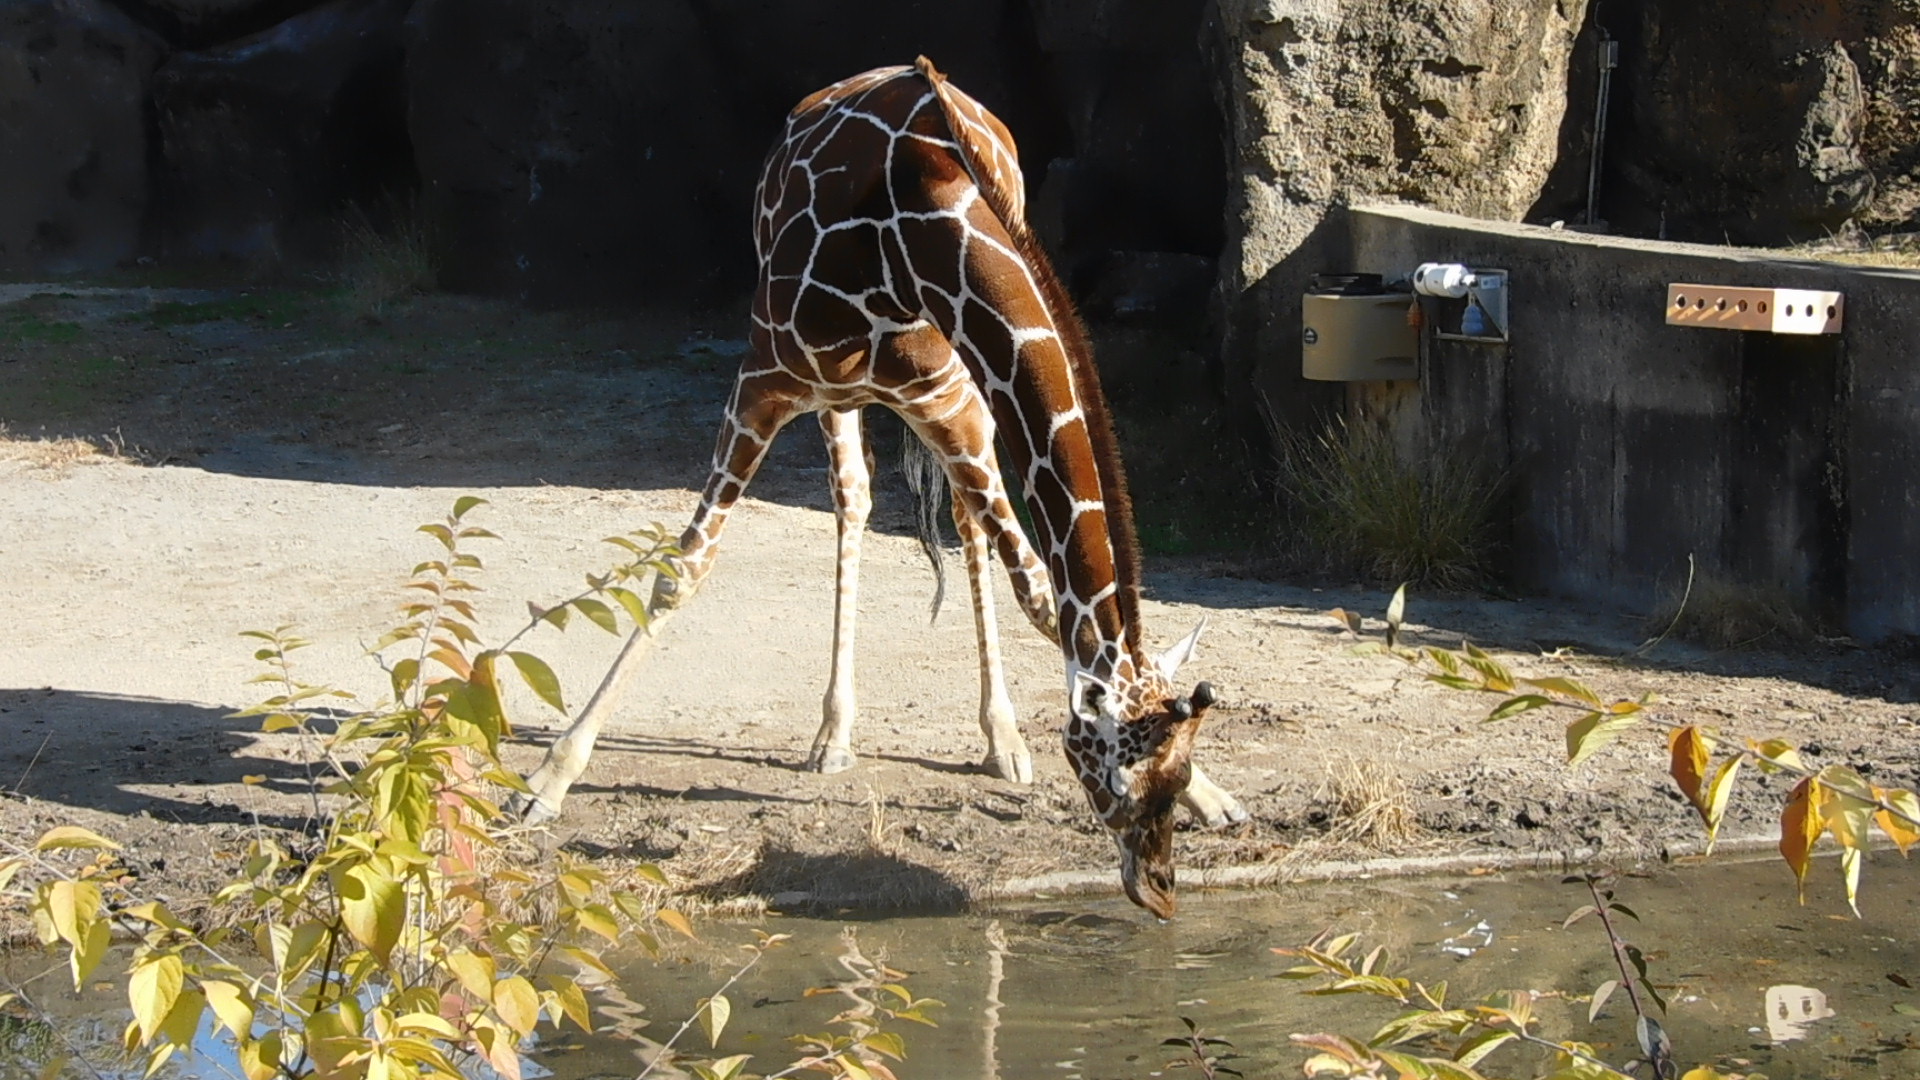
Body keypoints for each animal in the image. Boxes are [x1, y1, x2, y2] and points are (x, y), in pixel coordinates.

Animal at [519, 57, 1246, 918]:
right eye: (1117, 776)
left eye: (1174, 766)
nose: (1161, 894)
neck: (914, 233)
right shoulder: (763, 379)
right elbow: (682, 569)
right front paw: (549, 777)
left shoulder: (950, 402)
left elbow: (1037, 592)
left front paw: (1217, 795)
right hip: (840, 398)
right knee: (855, 499)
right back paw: (833, 734)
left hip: (948, 404)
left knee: (963, 524)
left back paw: (998, 739)